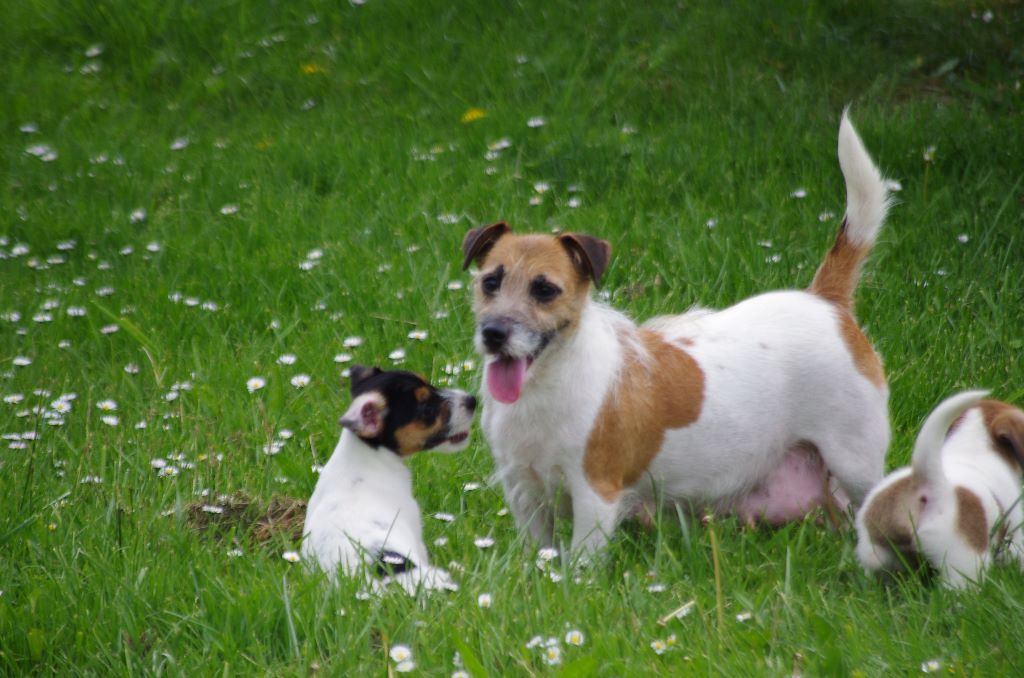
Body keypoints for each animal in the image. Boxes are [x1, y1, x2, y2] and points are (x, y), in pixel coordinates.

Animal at [462, 112, 888, 557]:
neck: (545, 385)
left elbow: (581, 560)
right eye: (490, 282)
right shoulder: (523, 494)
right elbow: (538, 553)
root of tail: (825, 300)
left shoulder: (595, 497)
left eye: (545, 290)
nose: (494, 333)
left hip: (855, 461)